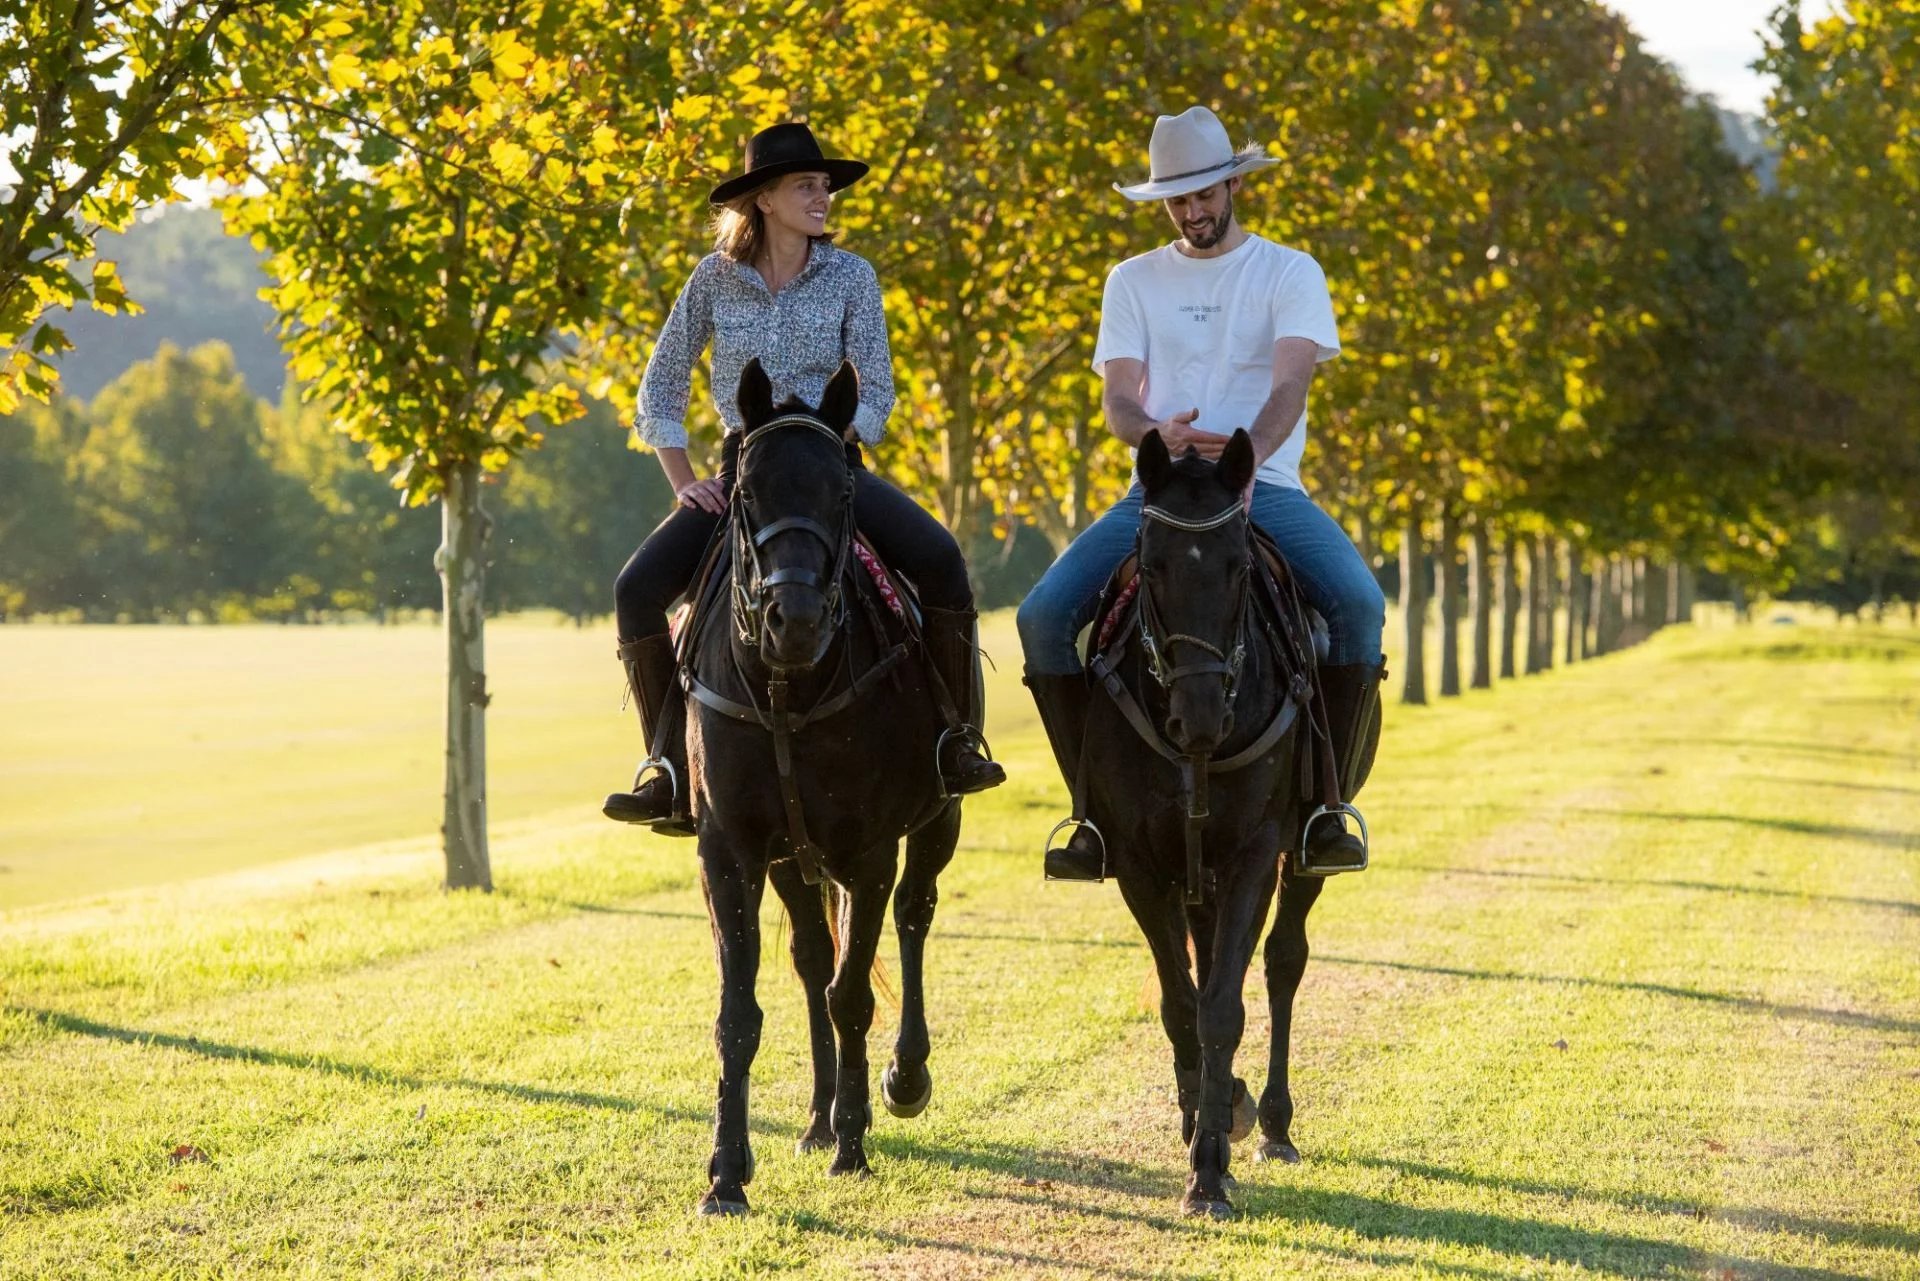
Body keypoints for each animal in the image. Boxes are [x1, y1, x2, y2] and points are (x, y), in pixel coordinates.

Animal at [687, 359, 960, 1213]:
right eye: (745, 491)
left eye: (843, 492)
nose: (796, 618)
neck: (789, 686)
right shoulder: (731, 853)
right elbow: (740, 1012)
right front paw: (726, 1172)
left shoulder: (869, 851)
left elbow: (854, 994)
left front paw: (854, 1143)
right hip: (793, 860)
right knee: (814, 954)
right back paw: (815, 1115)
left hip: (936, 825)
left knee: (912, 917)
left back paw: (900, 1080)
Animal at [1067, 430, 1351, 1221]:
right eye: (1153, 564)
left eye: (1238, 567)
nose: (1198, 719)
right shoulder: (1140, 865)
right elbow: (1180, 1002)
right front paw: (1204, 1119)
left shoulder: (1256, 852)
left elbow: (1222, 1005)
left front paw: (1209, 1173)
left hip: (1300, 858)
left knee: (1284, 961)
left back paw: (1274, 1123)